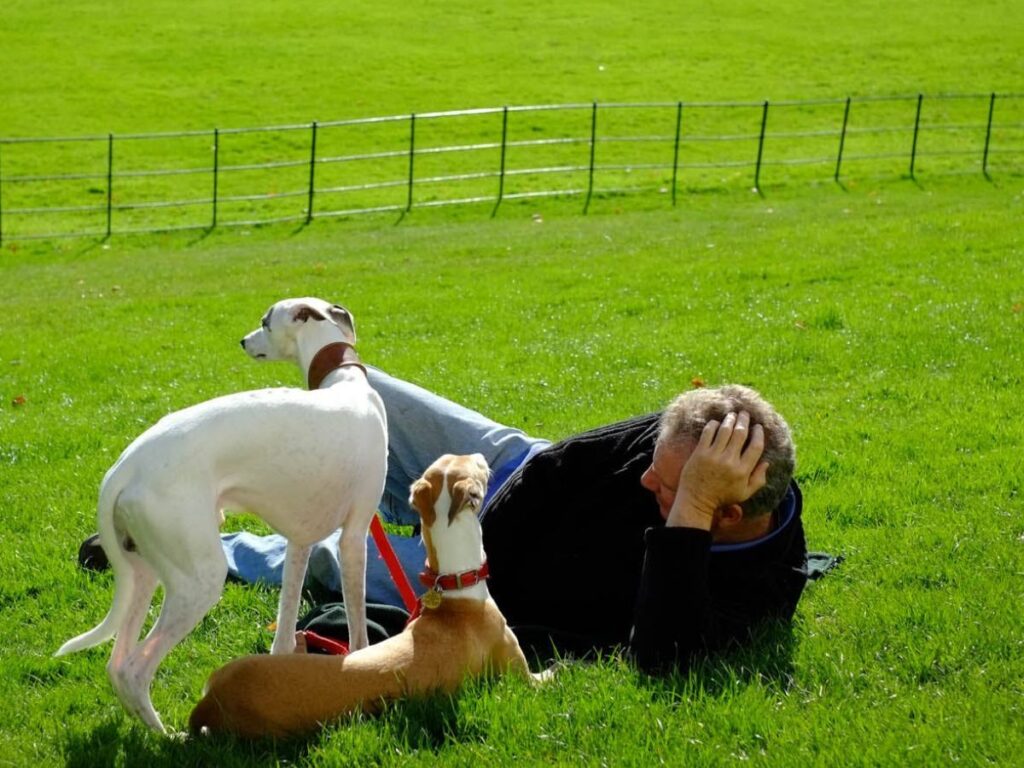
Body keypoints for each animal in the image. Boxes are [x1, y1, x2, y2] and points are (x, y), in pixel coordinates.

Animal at [55, 299, 387, 733]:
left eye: (265, 322)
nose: (244, 340)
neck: (344, 382)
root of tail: (123, 468)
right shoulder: (354, 537)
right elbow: (357, 620)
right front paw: (363, 662)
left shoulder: (299, 541)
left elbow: (284, 630)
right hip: (199, 579)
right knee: (134, 668)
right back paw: (170, 737)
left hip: (142, 570)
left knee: (117, 663)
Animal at [192, 454, 540, 741]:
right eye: (474, 463)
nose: (483, 455)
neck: (456, 589)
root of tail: (208, 705)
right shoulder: (519, 673)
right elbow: (542, 676)